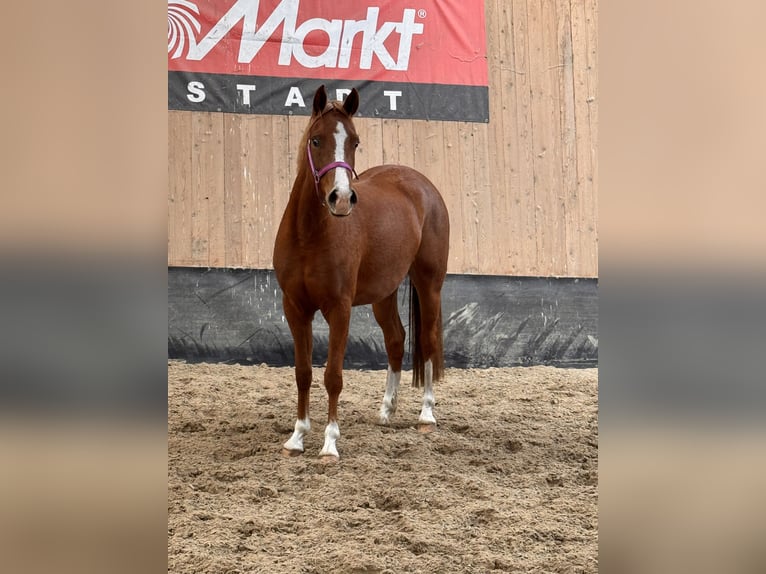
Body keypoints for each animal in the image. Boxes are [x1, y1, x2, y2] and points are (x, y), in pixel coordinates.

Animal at [272, 85, 450, 464]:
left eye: (354, 142)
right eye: (316, 140)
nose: (340, 199)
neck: (309, 235)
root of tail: (421, 184)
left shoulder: (339, 309)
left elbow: (333, 376)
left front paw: (329, 444)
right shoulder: (295, 308)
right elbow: (303, 373)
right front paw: (297, 437)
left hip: (429, 284)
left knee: (427, 341)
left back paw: (426, 415)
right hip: (384, 293)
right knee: (396, 339)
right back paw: (386, 411)